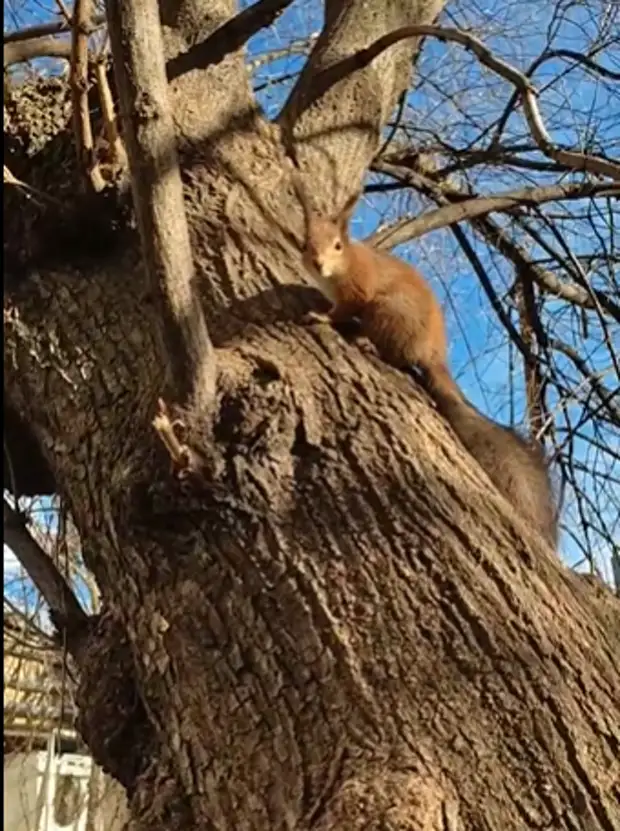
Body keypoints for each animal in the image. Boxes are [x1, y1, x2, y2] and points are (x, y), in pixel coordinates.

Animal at [294, 174, 560, 552]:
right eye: (306, 243)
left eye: (337, 246)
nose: (317, 263)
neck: (344, 269)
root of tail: (433, 355)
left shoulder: (358, 291)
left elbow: (342, 310)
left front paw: (321, 317)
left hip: (387, 313)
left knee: (395, 354)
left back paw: (368, 343)